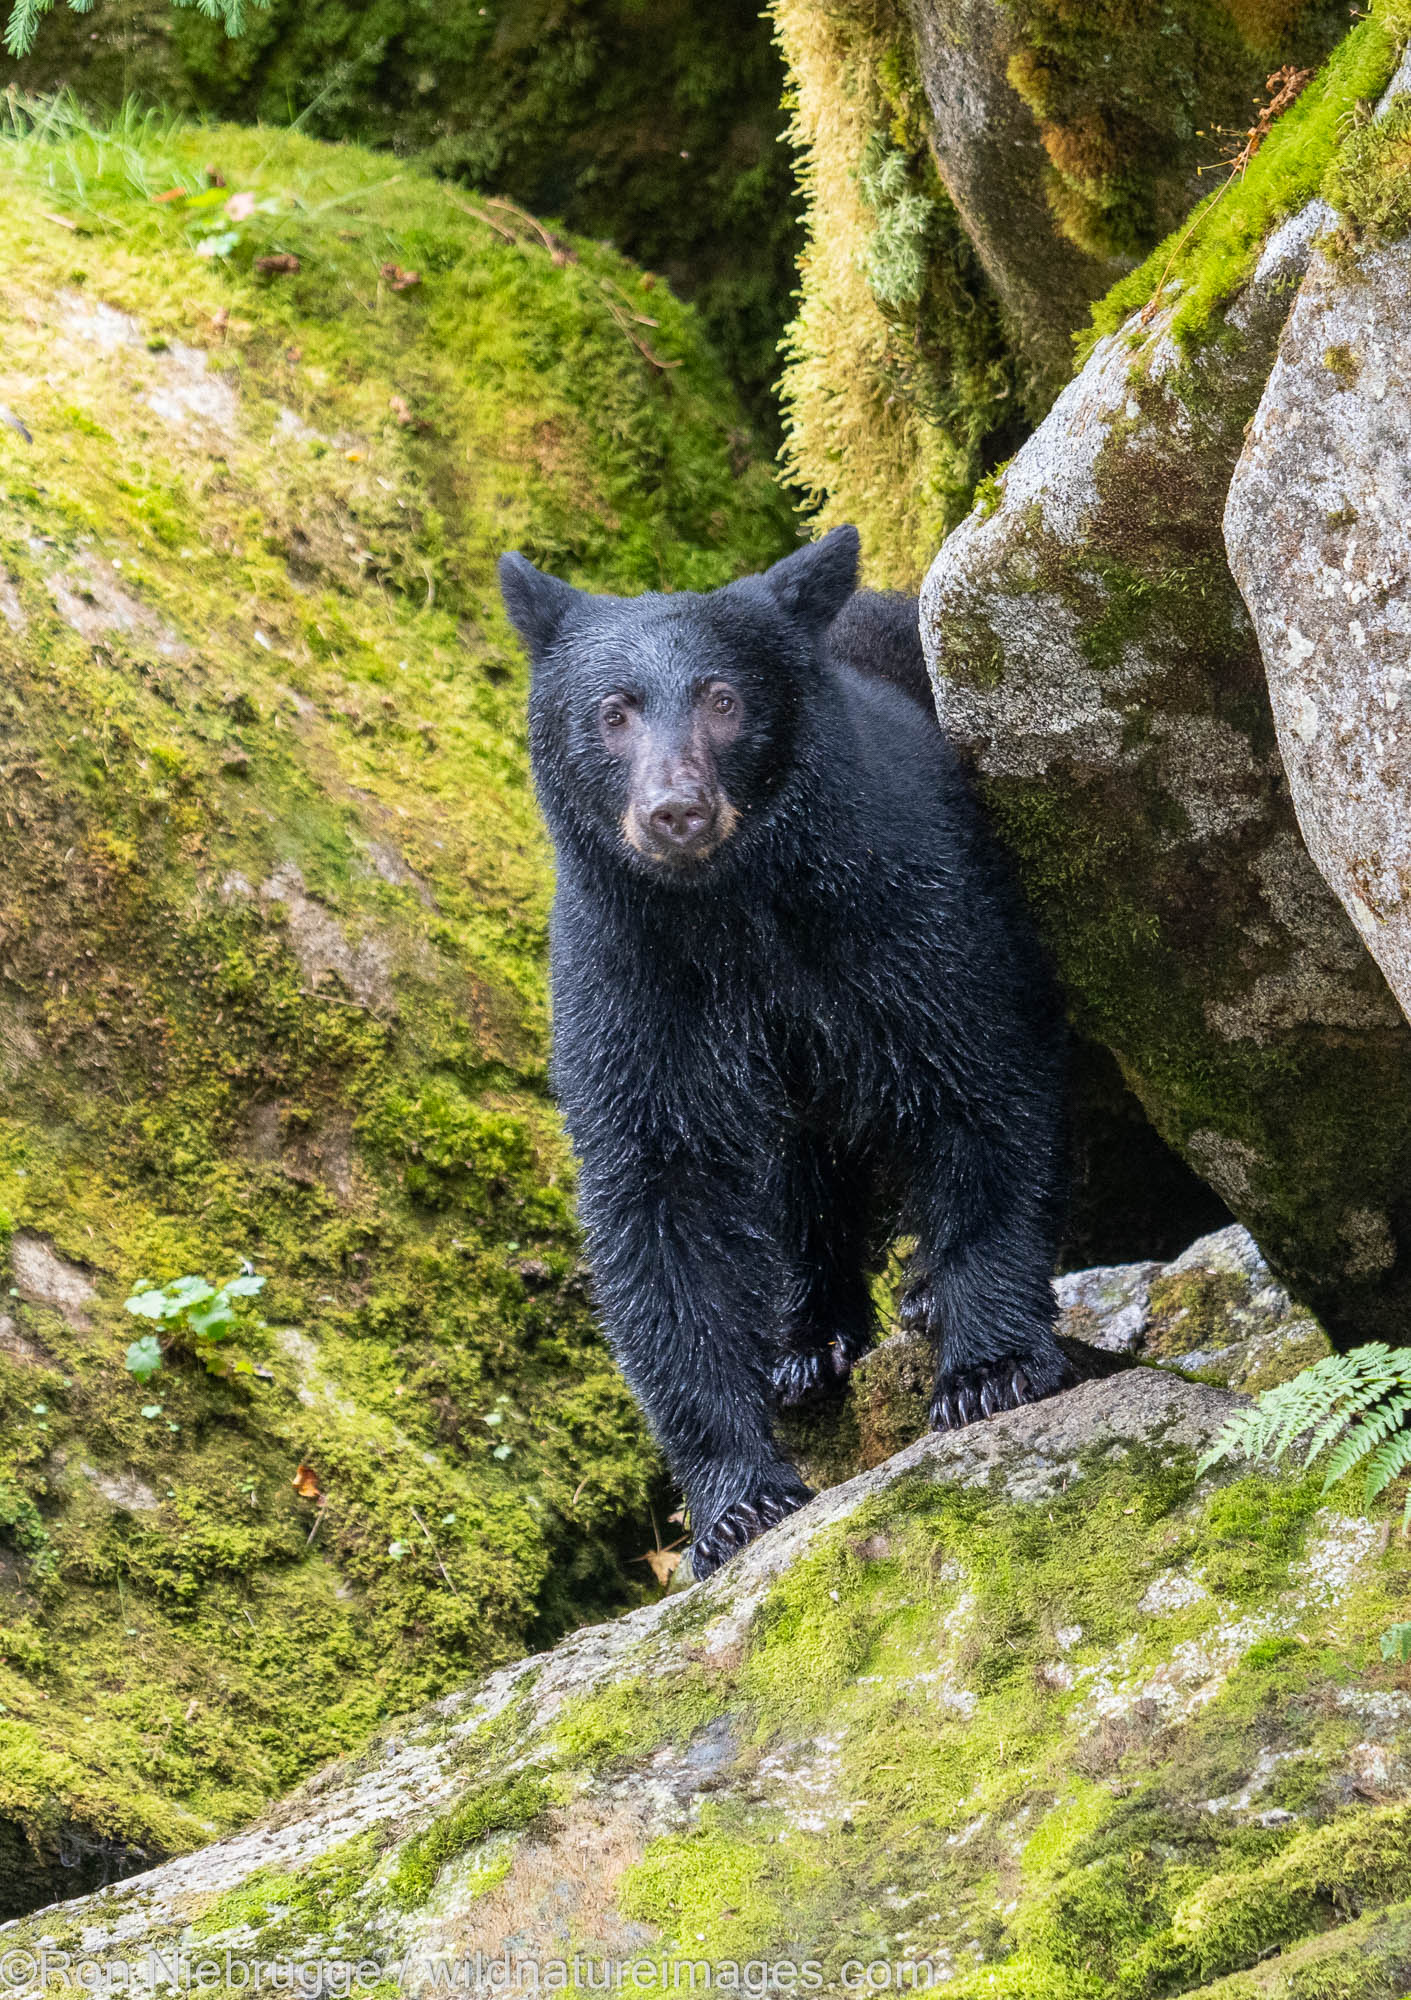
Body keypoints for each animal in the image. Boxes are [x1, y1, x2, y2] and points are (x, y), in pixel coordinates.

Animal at [499, 528, 1063, 1576]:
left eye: (723, 699)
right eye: (612, 711)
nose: (675, 811)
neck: (734, 915)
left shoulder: (905, 910)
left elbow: (979, 1075)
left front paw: (991, 1366)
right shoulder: (631, 983)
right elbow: (661, 1194)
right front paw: (736, 1502)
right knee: (793, 1168)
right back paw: (807, 1339)